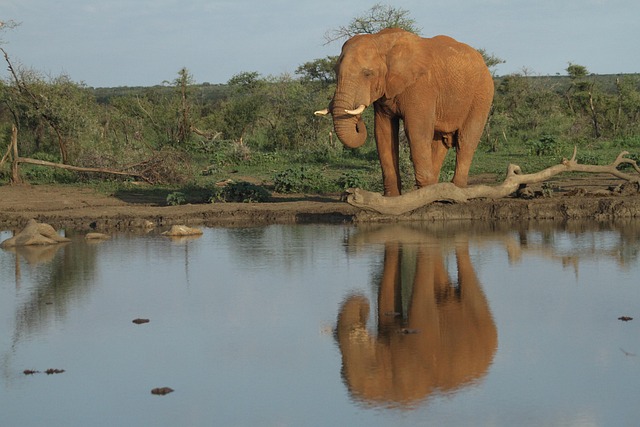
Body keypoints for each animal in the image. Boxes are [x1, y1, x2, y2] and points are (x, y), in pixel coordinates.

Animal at [315, 28, 494, 196]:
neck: (381, 41)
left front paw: (424, 197)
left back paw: (457, 191)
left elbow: (417, 132)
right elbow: (383, 132)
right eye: (335, 71)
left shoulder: (421, 86)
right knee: (440, 143)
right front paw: (392, 197)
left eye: (367, 74)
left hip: (482, 95)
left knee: (466, 141)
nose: (358, 120)